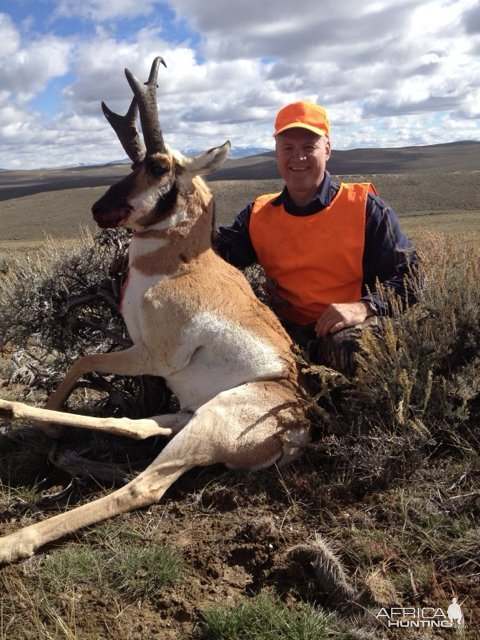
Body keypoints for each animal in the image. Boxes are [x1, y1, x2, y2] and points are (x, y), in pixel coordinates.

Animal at [0, 57, 310, 564]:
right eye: (131, 163)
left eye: (158, 165)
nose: (98, 208)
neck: (179, 265)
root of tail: (298, 423)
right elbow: (83, 364)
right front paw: (43, 424)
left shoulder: (150, 355)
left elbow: (83, 357)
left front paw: (46, 426)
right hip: (189, 414)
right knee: (134, 426)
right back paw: (10, 408)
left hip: (209, 422)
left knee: (142, 487)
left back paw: (15, 541)